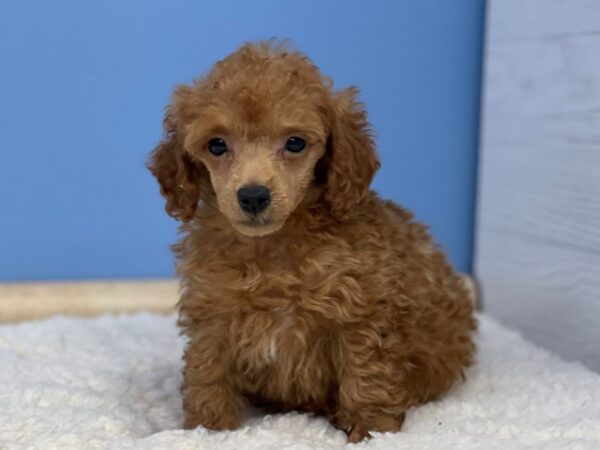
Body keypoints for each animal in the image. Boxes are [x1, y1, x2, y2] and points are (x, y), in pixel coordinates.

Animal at [148, 40, 476, 442]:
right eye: (217, 146)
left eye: (294, 143)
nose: (253, 196)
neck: (272, 247)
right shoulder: (213, 310)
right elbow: (207, 370)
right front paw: (209, 429)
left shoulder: (360, 311)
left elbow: (367, 374)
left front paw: (372, 429)